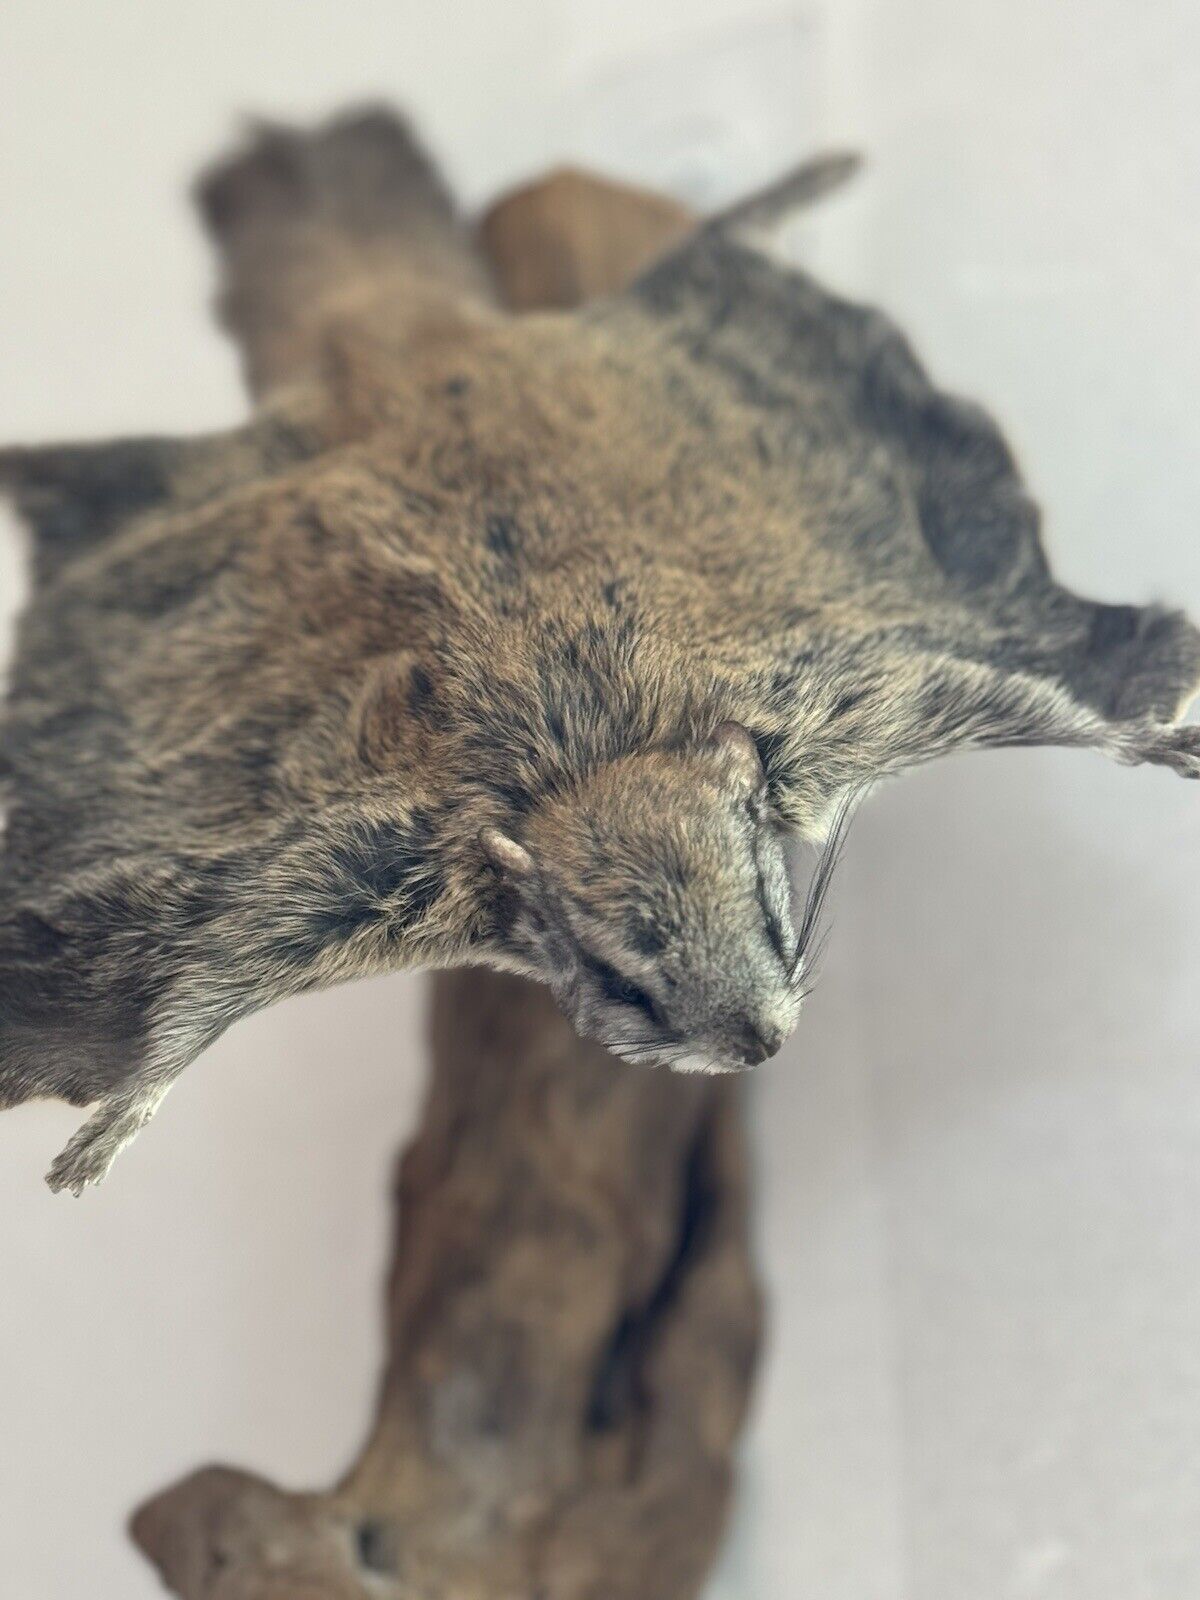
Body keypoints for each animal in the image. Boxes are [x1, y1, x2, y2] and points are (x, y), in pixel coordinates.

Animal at [2, 108, 1198, 1193]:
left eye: (769, 909)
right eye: (626, 985)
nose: (760, 1044)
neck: (587, 755)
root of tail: (414, 354)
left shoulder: (880, 697)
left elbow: (1098, 701)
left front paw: (1162, 743)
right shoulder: (308, 900)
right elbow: (179, 1019)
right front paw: (108, 1132)